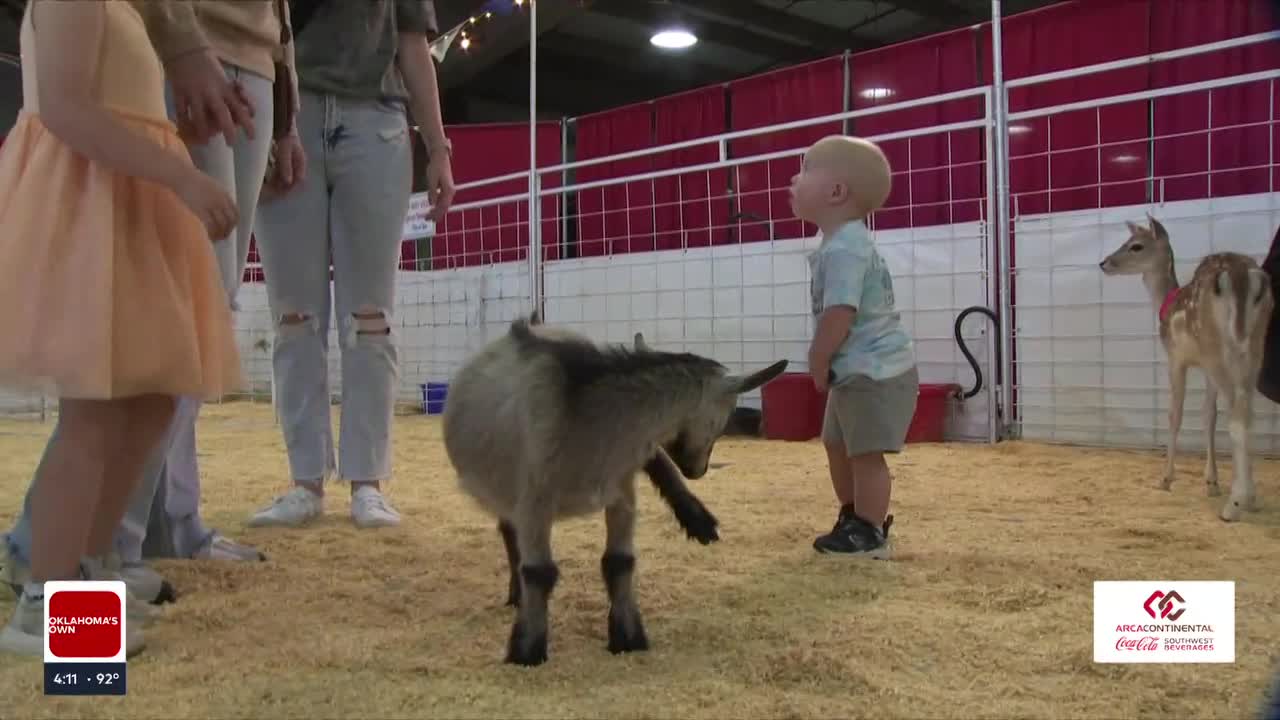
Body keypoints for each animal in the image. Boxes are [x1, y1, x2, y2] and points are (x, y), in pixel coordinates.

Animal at [442, 311, 788, 666]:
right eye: (725, 417)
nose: (698, 470)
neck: (580, 415)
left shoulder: (622, 491)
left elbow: (619, 562)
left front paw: (628, 636)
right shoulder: (534, 501)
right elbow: (538, 571)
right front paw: (527, 649)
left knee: (657, 461)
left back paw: (697, 518)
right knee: (509, 534)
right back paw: (515, 593)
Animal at [1095, 210, 1274, 517]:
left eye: (1136, 245)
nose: (1104, 263)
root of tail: (1240, 275)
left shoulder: (1176, 357)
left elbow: (1175, 414)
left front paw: (1166, 478)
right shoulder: (1204, 367)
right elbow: (1208, 415)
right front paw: (1212, 482)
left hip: (1216, 345)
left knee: (1238, 413)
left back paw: (1237, 502)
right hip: (1254, 344)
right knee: (1246, 411)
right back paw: (1249, 496)